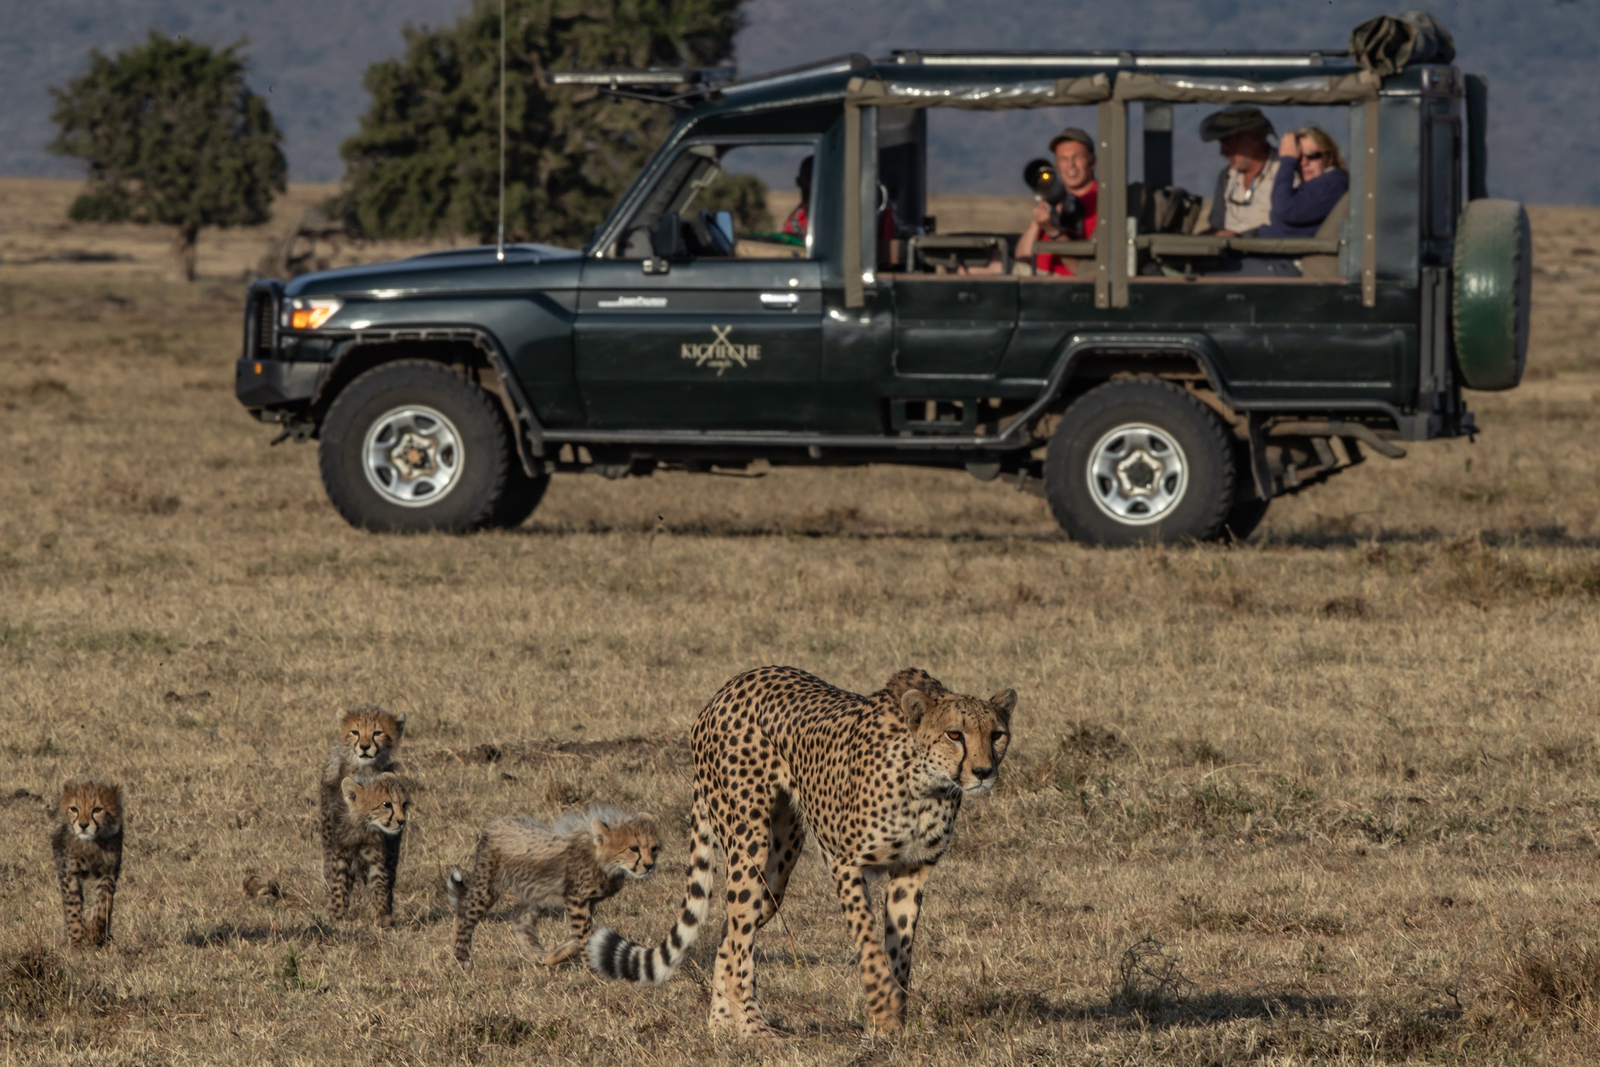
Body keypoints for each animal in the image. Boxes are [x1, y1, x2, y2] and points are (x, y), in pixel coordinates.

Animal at [50, 780, 124, 949]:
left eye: (97, 809)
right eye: (74, 809)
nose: (83, 825)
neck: (91, 843)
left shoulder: (109, 870)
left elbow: (105, 902)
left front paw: (94, 931)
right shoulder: (69, 873)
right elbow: (73, 908)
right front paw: (76, 942)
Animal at [326, 772, 410, 926]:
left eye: (404, 804)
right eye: (386, 804)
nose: (402, 821)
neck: (363, 827)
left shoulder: (378, 857)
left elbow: (380, 884)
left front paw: (383, 917)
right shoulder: (342, 854)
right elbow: (339, 884)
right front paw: (336, 914)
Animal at [446, 804, 659, 970]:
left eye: (654, 848)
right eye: (633, 848)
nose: (649, 866)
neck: (603, 860)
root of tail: (496, 823)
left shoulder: (588, 902)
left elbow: (582, 937)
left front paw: (554, 957)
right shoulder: (576, 900)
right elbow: (585, 935)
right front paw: (593, 970)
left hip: (536, 892)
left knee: (520, 923)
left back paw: (538, 956)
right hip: (488, 885)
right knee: (465, 911)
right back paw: (461, 959)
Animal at [586, 665, 1015, 1038]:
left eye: (997, 735)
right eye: (954, 734)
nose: (983, 772)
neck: (927, 784)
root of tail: (728, 688)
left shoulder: (912, 870)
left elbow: (899, 951)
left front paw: (892, 1022)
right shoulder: (845, 863)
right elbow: (869, 945)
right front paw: (883, 1010)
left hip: (776, 871)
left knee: (729, 934)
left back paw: (723, 1025)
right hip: (749, 843)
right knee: (739, 939)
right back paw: (754, 1031)